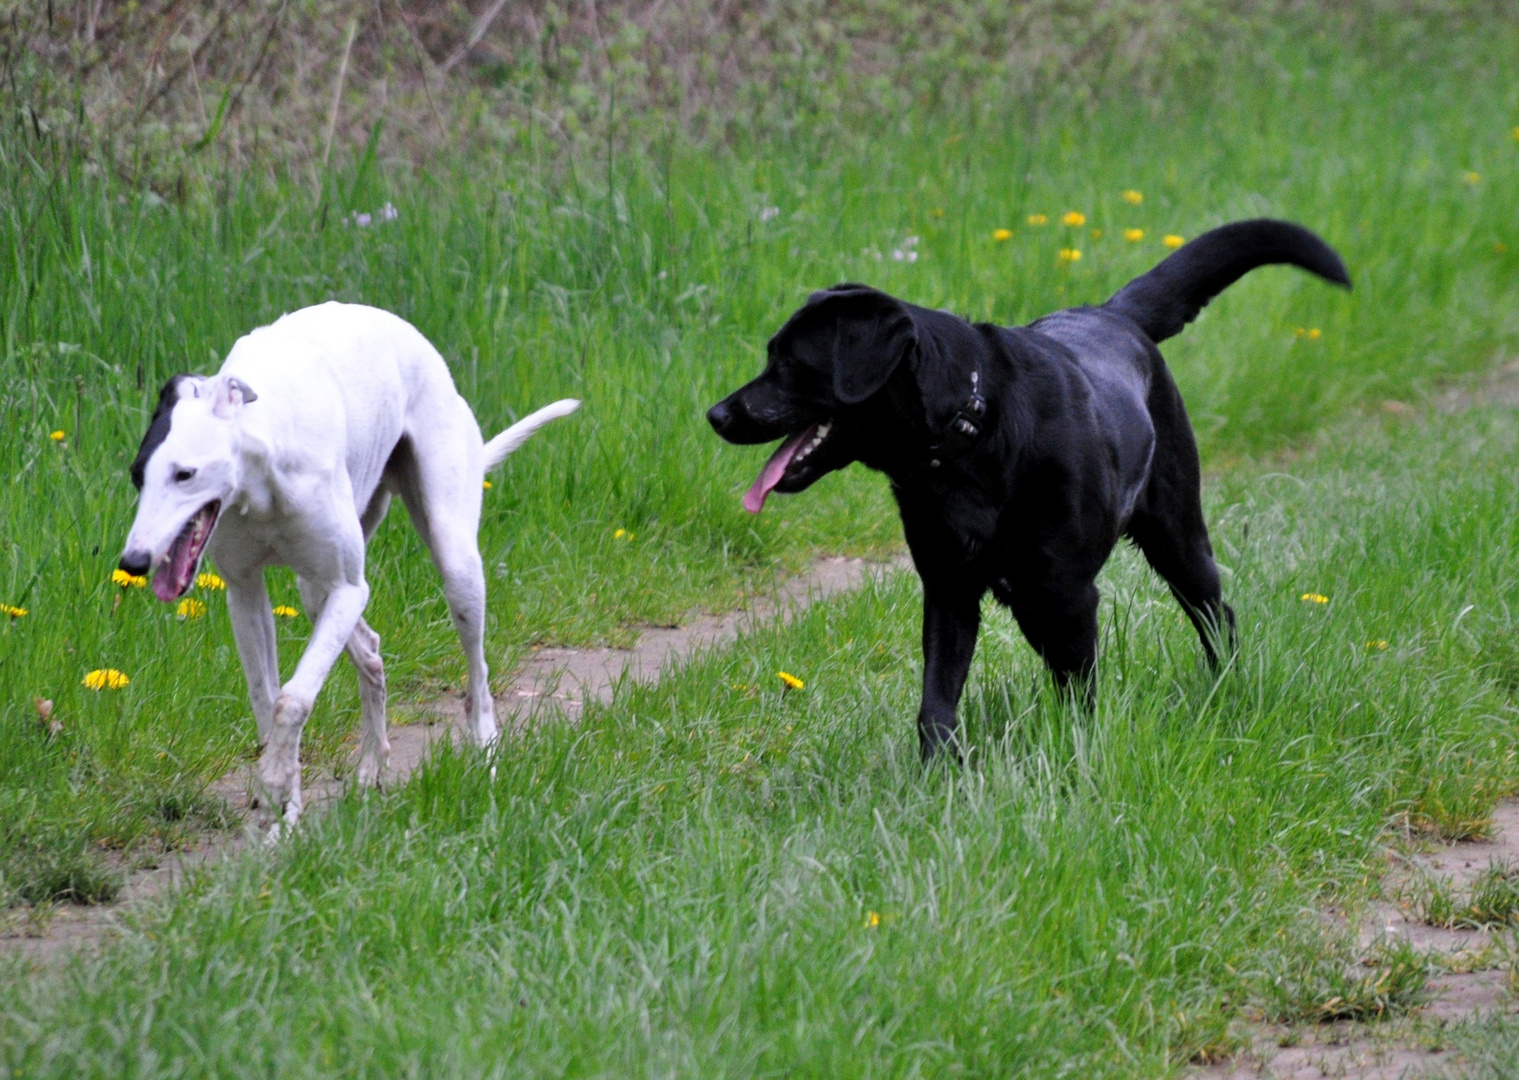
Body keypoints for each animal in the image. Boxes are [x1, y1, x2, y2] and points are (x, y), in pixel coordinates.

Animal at [118, 303, 577, 826]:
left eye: (185, 473)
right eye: (137, 474)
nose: (133, 561)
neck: (264, 464)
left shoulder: (347, 588)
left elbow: (293, 698)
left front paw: (275, 783)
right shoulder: (245, 591)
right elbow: (267, 698)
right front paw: (282, 803)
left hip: (453, 560)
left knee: (477, 673)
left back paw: (485, 753)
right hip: (316, 589)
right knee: (370, 651)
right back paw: (371, 764)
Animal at [704, 217, 1348, 759]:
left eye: (790, 363)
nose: (715, 415)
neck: (968, 436)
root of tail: (1115, 315)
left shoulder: (1070, 593)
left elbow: (1080, 693)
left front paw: (1076, 756)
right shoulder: (950, 589)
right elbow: (936, 703)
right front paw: (937, 777)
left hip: (1176, 538)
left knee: (1216, 614)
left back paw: (1226, 688)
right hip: (1035, 600)